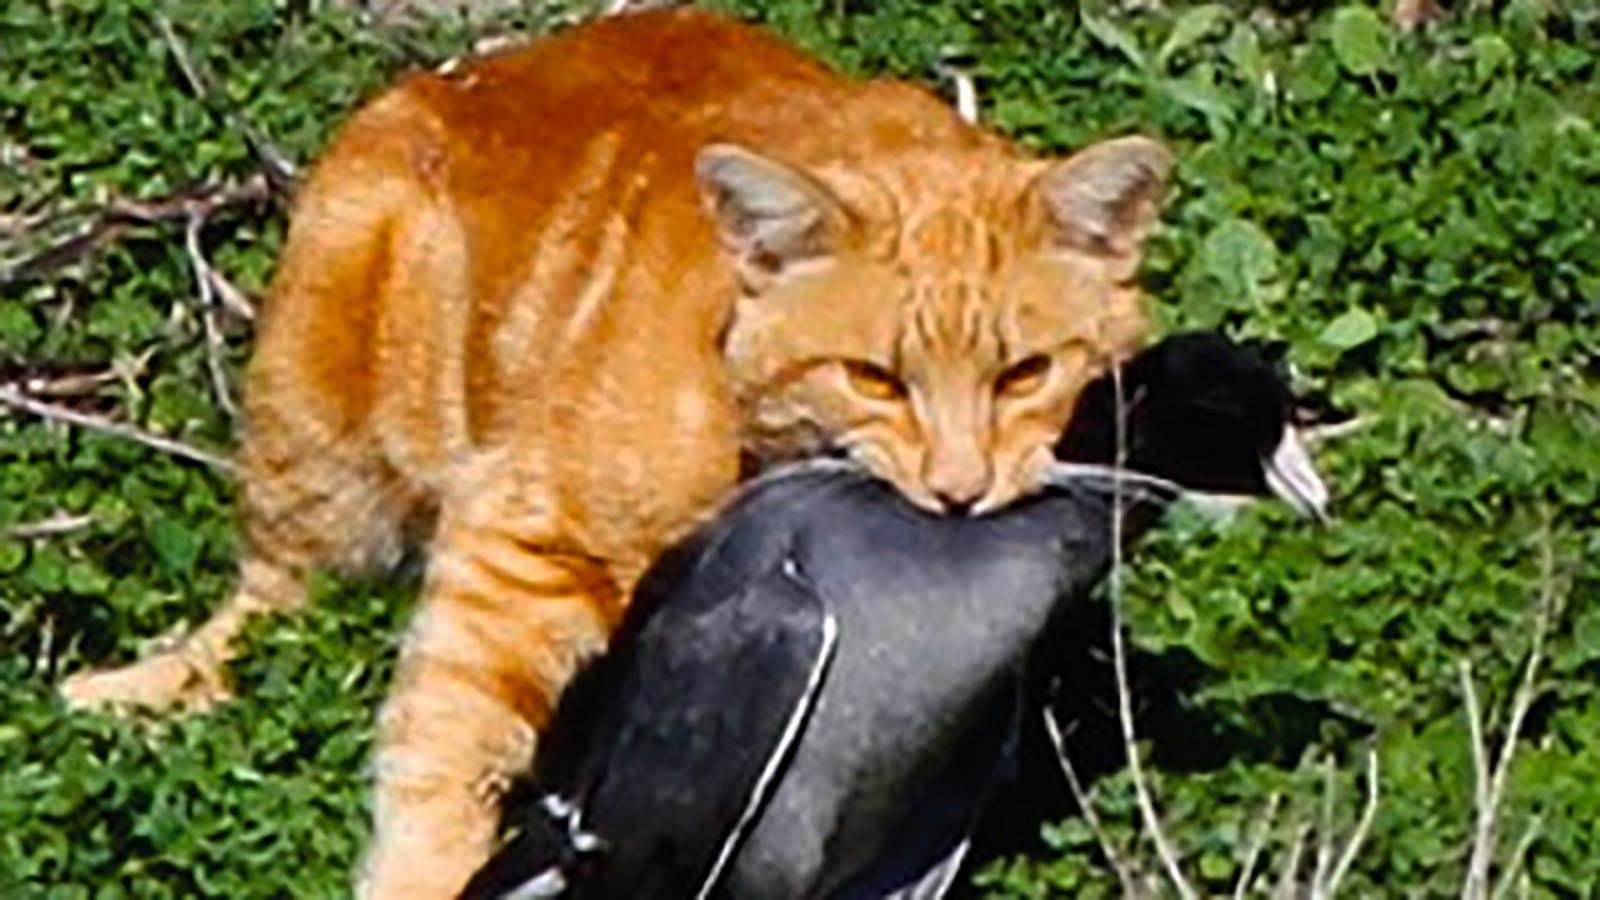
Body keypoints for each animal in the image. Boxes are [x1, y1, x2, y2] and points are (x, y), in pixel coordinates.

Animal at [62, 8, 1171, 896]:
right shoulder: (522, 542)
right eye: (874, 378)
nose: (958, 490)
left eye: (1025, 374)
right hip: (322, 411)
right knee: (269, 599)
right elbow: (444, 743)